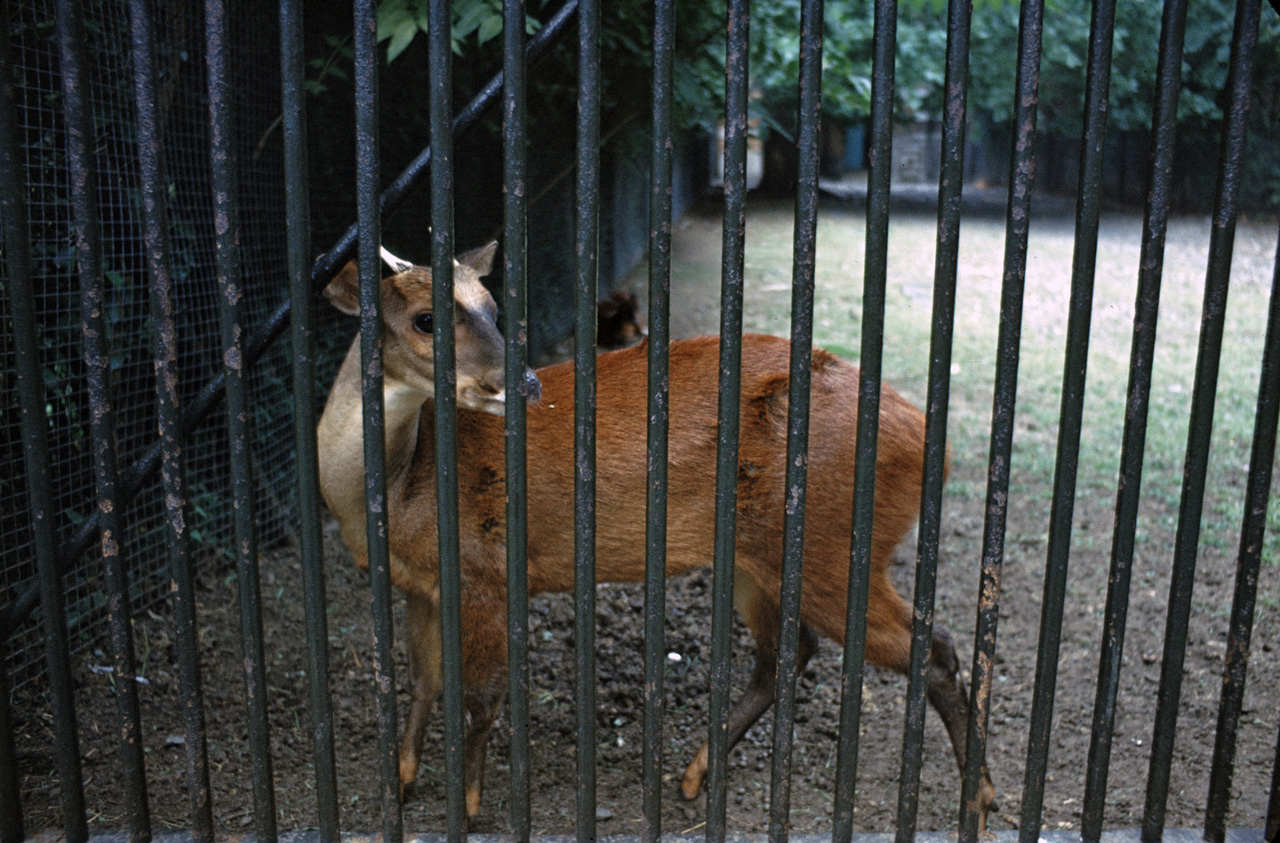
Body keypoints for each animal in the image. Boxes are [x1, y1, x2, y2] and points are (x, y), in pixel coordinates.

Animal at [314, 240, 993, 828]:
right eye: (426, 319)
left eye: (492, 307)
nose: (525, 383)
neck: (403, 486)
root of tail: (930, 443)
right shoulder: (420, 587)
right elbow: (421, 683)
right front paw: (402, 782)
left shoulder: (489, 569)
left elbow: (480, 697)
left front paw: (471, 805)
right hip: (760, 556)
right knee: (788, 653)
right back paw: (694, 775)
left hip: (836, 541)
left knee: (932, 645)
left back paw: (980, 799)